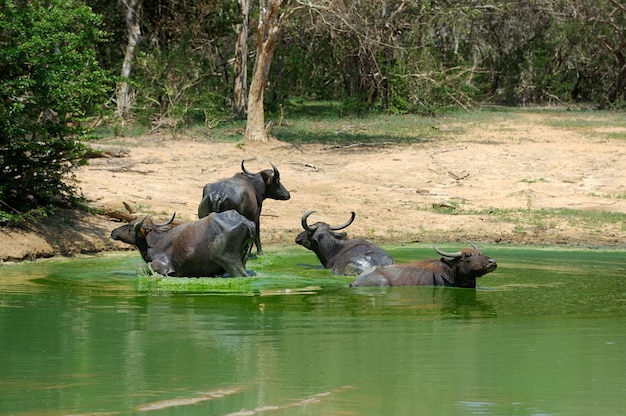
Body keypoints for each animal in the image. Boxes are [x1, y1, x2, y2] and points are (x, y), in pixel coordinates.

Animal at [109, 210, 254, 278]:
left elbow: (142, 270)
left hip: (230, 262)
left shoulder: (162, 267)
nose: (113, 231)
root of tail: (247, 222)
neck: (155, 242)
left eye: (130, 225)